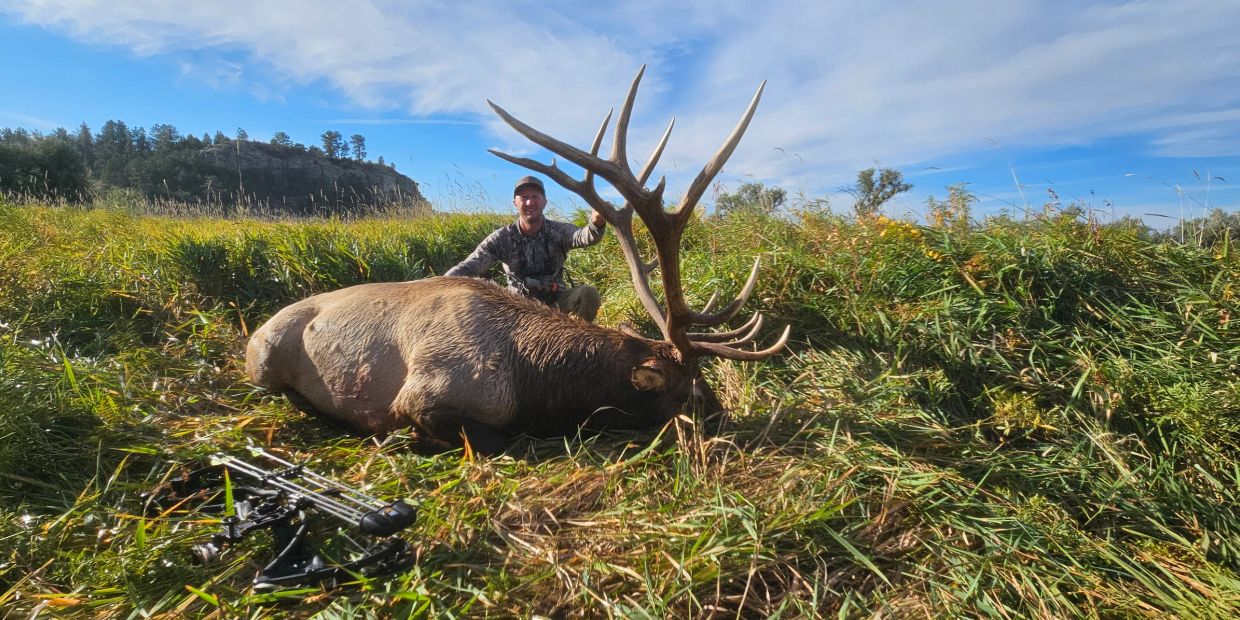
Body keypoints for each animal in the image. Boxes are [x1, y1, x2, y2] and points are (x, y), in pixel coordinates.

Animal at [244, 66, 789, 454]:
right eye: (692, 392)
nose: (726, 418)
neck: (535, 385)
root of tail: (254, 330)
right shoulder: (425, 395)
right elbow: (494, 441)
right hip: (262, 360)